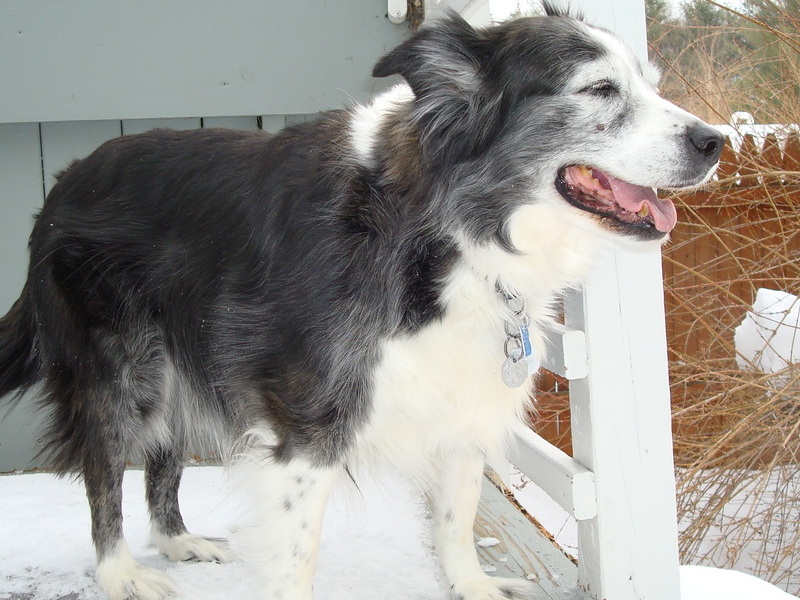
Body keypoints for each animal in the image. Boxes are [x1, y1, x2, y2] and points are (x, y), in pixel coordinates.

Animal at [0, 4, 720, 600]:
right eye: (599, 89)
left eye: (649, 84)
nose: (716, 141)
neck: (442, 227)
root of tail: (63, 184)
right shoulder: (307, 424)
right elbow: (297, 557)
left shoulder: (467, 392)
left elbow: (457, 515)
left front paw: (471, 585)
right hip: (123, 373)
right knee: (103, 470)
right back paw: (120, 571)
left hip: (178, 367)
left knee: (162, 457)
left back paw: (177, 540)